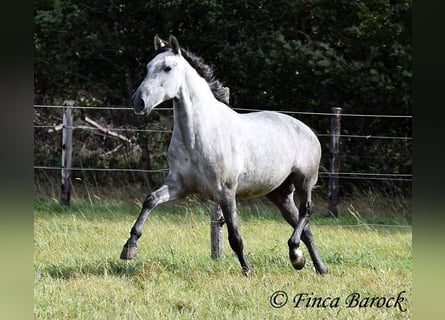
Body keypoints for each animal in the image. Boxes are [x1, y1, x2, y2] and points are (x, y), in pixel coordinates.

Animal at [119, 35, 328, 276]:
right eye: (147, 67)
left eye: (167, 68)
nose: (138, 102)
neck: (199, 136)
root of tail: (307, 130)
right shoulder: (178, 185)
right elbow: (150, 200)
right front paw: (129, 248)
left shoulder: (226, 192)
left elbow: (235, 237)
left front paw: (248, 270)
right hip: (279, 194)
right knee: (305, 227)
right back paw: (316, 266)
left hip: (304, 181)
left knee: (307, 212)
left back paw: (296, 253)